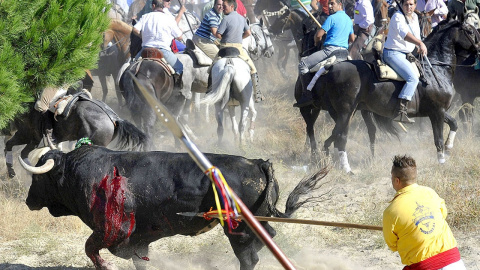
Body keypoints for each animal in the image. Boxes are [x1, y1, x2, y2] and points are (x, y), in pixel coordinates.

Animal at [24, 147, 328, 268]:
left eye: (38, 178)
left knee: (248, 258)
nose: (28, 201)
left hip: (238, 230)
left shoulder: (113, 231)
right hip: (257, 223)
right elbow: (139, 260)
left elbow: (91, 249)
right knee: (268, 240)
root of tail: (256, 162)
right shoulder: (139, 239)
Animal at [308, 18, 480, 171]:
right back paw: (347, 169)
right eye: (471, 31)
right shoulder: (437, 113)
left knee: (335, 135)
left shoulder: (438, 111)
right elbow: (438, 139)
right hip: (346, 112)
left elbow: (454, 123)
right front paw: (442, 161)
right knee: (341, 137)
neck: (435, 70)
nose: (479, 51)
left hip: (348, 112)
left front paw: (449, 147)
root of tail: (332, 68)